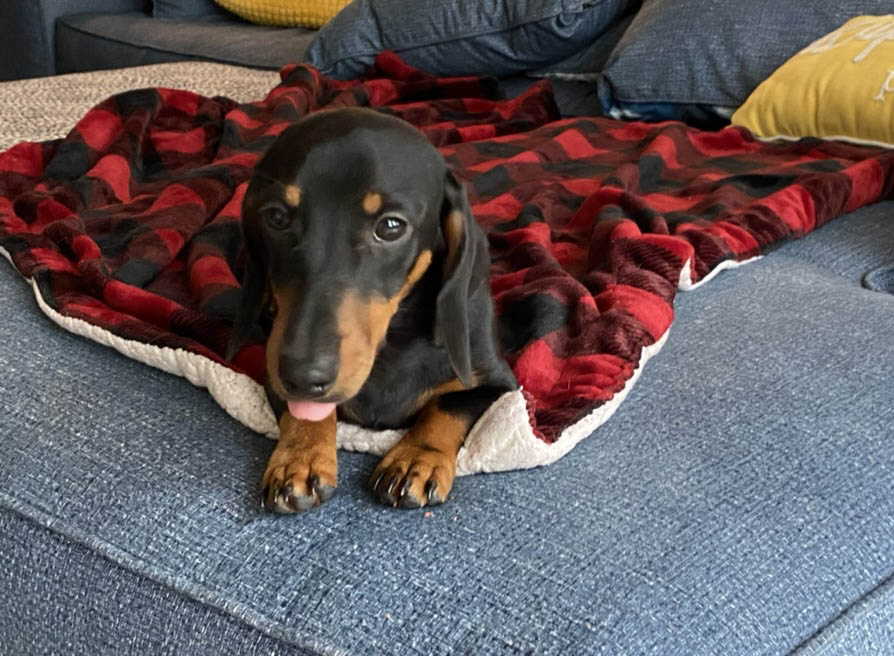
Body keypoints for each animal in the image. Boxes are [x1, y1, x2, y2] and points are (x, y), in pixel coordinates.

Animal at [229, 107, 520, 512]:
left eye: (391, 226)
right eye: (277, 217)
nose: (302, 375)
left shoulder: (497, 384)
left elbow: (448, 406)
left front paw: (416, 458)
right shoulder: (270, 369)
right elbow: (304, 413)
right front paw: (300, 456)